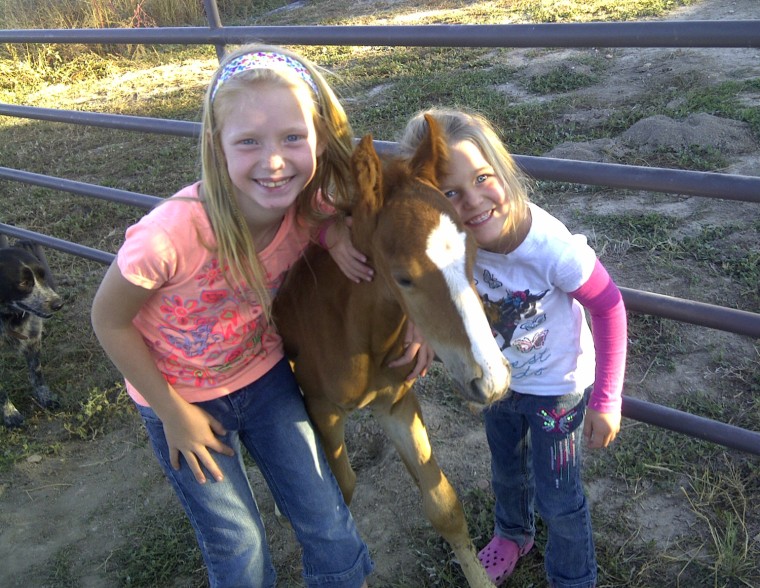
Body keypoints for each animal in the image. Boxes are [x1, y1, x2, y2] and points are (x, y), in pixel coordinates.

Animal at [0, 237, 63, 424]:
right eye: (23, 283)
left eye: (43, 276)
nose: (58, 304)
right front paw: (10, 414)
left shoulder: (32, 340)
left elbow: (37, 373)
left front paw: (46, 398)